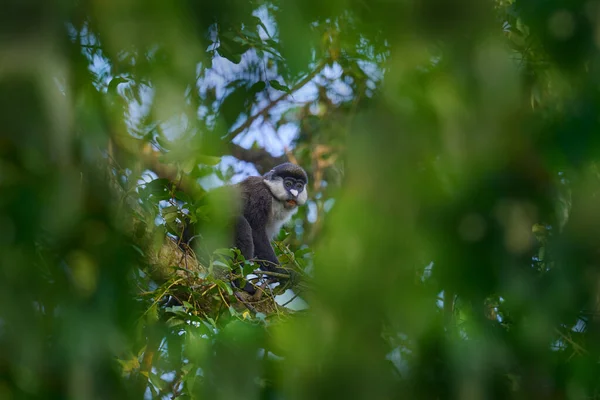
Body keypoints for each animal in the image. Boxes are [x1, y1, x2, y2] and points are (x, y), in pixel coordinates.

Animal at [180, 162, 308, 294]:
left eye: (299, 186)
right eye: (288, 184)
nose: (295, 194)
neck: (274, 197)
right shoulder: (261, 196)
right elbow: (257, 234)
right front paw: (280, 272)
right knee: (241, 224)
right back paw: (240, 282)